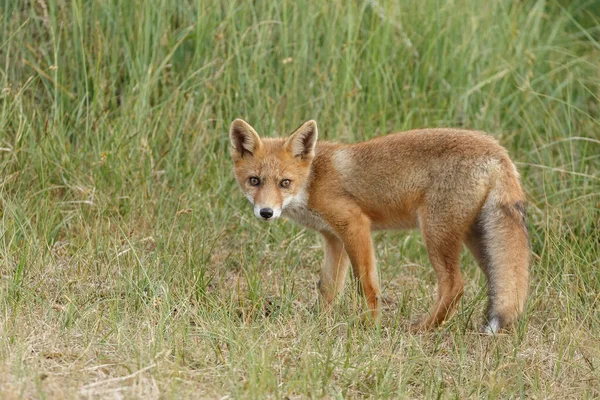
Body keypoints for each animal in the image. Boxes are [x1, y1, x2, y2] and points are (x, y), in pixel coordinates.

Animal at [230, 119, 528, 334]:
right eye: (254, 181)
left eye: (285, 183)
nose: (266, 212)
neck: (313, 181)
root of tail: (498, 150)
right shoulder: (334, 238)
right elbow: (327, 288)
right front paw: (320, 325)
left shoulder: (354, 224)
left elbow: (366, 284)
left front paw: (368, 328)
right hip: (478, 241)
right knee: (500, 285)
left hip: (436, 233)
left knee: (454, 285)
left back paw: (422, 328)